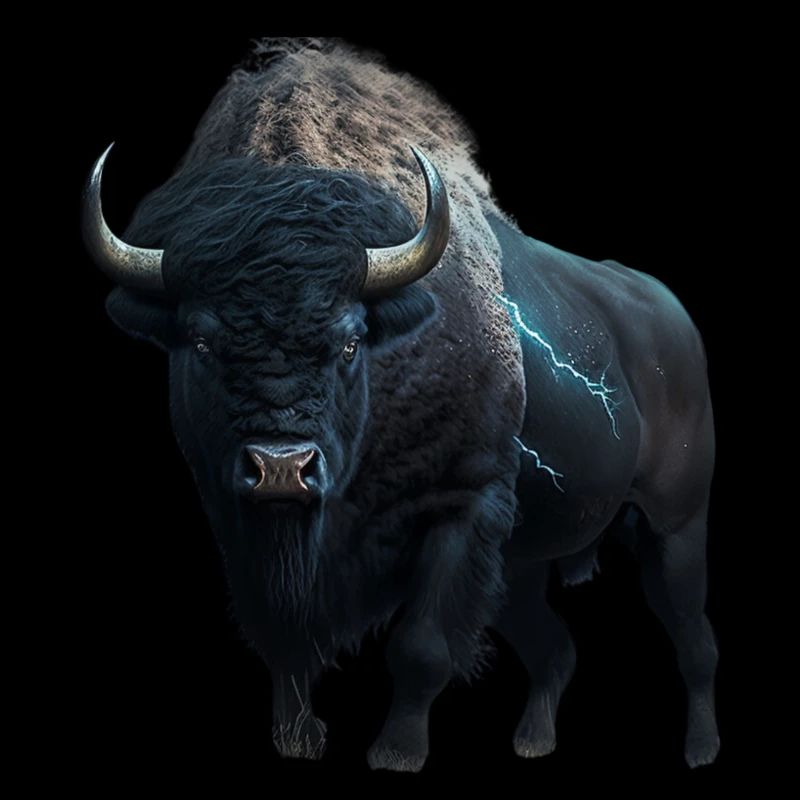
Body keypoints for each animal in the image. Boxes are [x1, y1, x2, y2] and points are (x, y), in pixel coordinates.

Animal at [83, 38, 719, 770]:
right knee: (556, 649)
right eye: (201, 338)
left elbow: (420, 647)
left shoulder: (460, 507)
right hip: (527, 564)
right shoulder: (238, 521)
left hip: (675, 526)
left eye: (351, 340)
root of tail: (671, 317)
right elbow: (283, 644)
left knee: (692, 638)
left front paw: (396, 752)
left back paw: (701, 749)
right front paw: (298, 738)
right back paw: (534, 740)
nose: (281, 467)